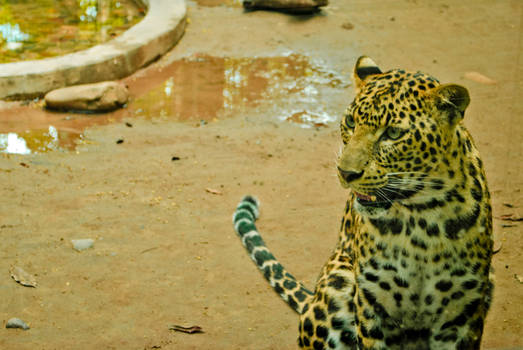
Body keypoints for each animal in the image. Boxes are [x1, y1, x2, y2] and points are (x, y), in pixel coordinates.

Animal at [231, 56, 494, 348]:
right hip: (337, 286)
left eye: (393, 133)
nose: (346, 173)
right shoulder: (373, 309)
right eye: (350, 121)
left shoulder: (460, 318)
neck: (420, 222)